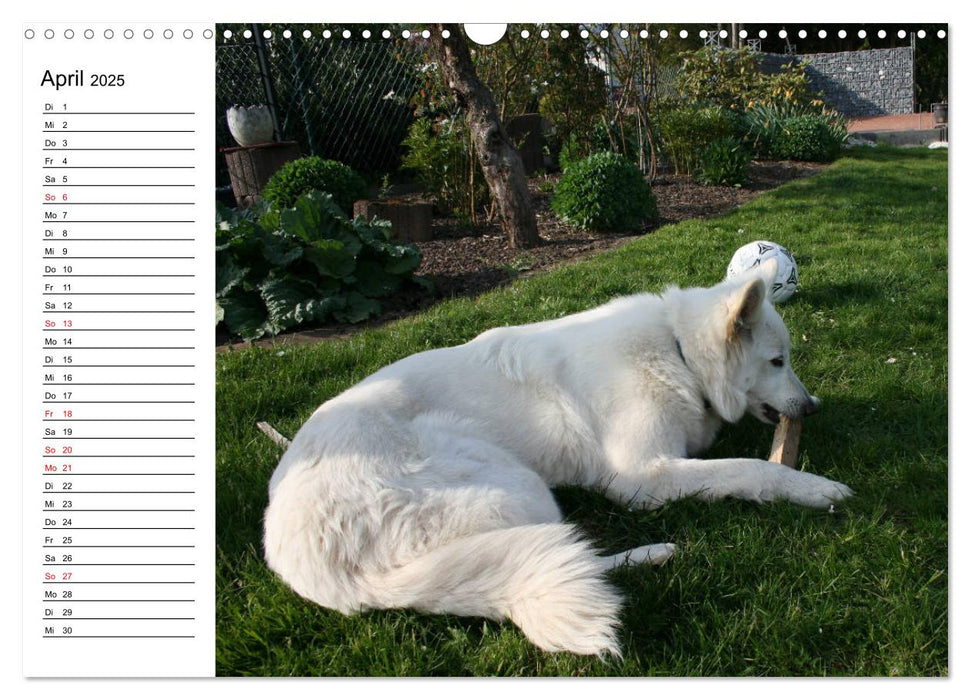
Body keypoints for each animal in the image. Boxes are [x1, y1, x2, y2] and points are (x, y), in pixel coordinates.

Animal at [264, 262, 852, 656]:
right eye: (777, 361)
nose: (813, 408)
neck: (676, 350)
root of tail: (338, 578)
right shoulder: (642, 477)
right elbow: (749, 469)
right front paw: (811, 486)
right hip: (517, 483)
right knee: (565, 553)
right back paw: (655, 552)